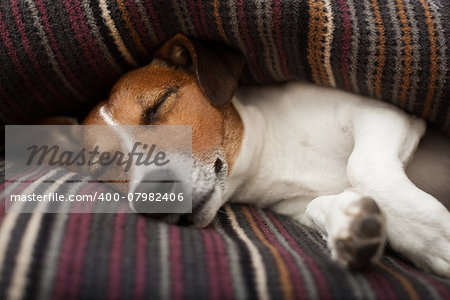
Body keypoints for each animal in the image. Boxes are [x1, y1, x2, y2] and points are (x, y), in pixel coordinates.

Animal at [81, 34, 450, 276]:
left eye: (158, 104)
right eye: (104, 165)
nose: (151, 200)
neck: (269, 155)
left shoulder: (382, 113)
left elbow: (360, 166)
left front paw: (433, 238)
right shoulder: (296, 205)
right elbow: (319, 206)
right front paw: (352, 223)